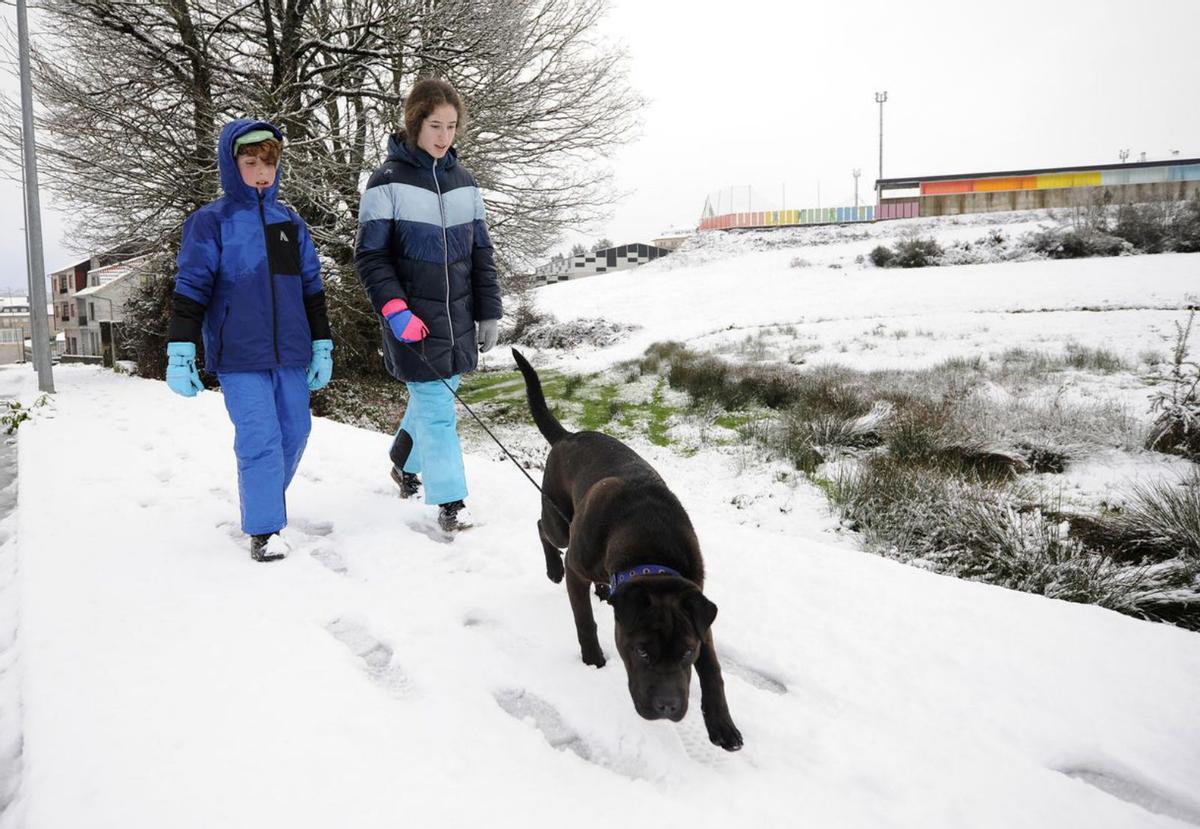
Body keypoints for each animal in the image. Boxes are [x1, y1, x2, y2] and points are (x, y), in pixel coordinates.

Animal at [513, 350, 739, 753]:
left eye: (687, 653)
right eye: (642, 652)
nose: (667, 706)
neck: (650, 554)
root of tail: (568, 436)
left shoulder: (698, 608)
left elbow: (713, 669)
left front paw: (722, 723)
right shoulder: (578, 570)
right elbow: (584, 620)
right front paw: (592, 658)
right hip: (559, 521)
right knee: (542, 528)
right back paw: (553, 568)